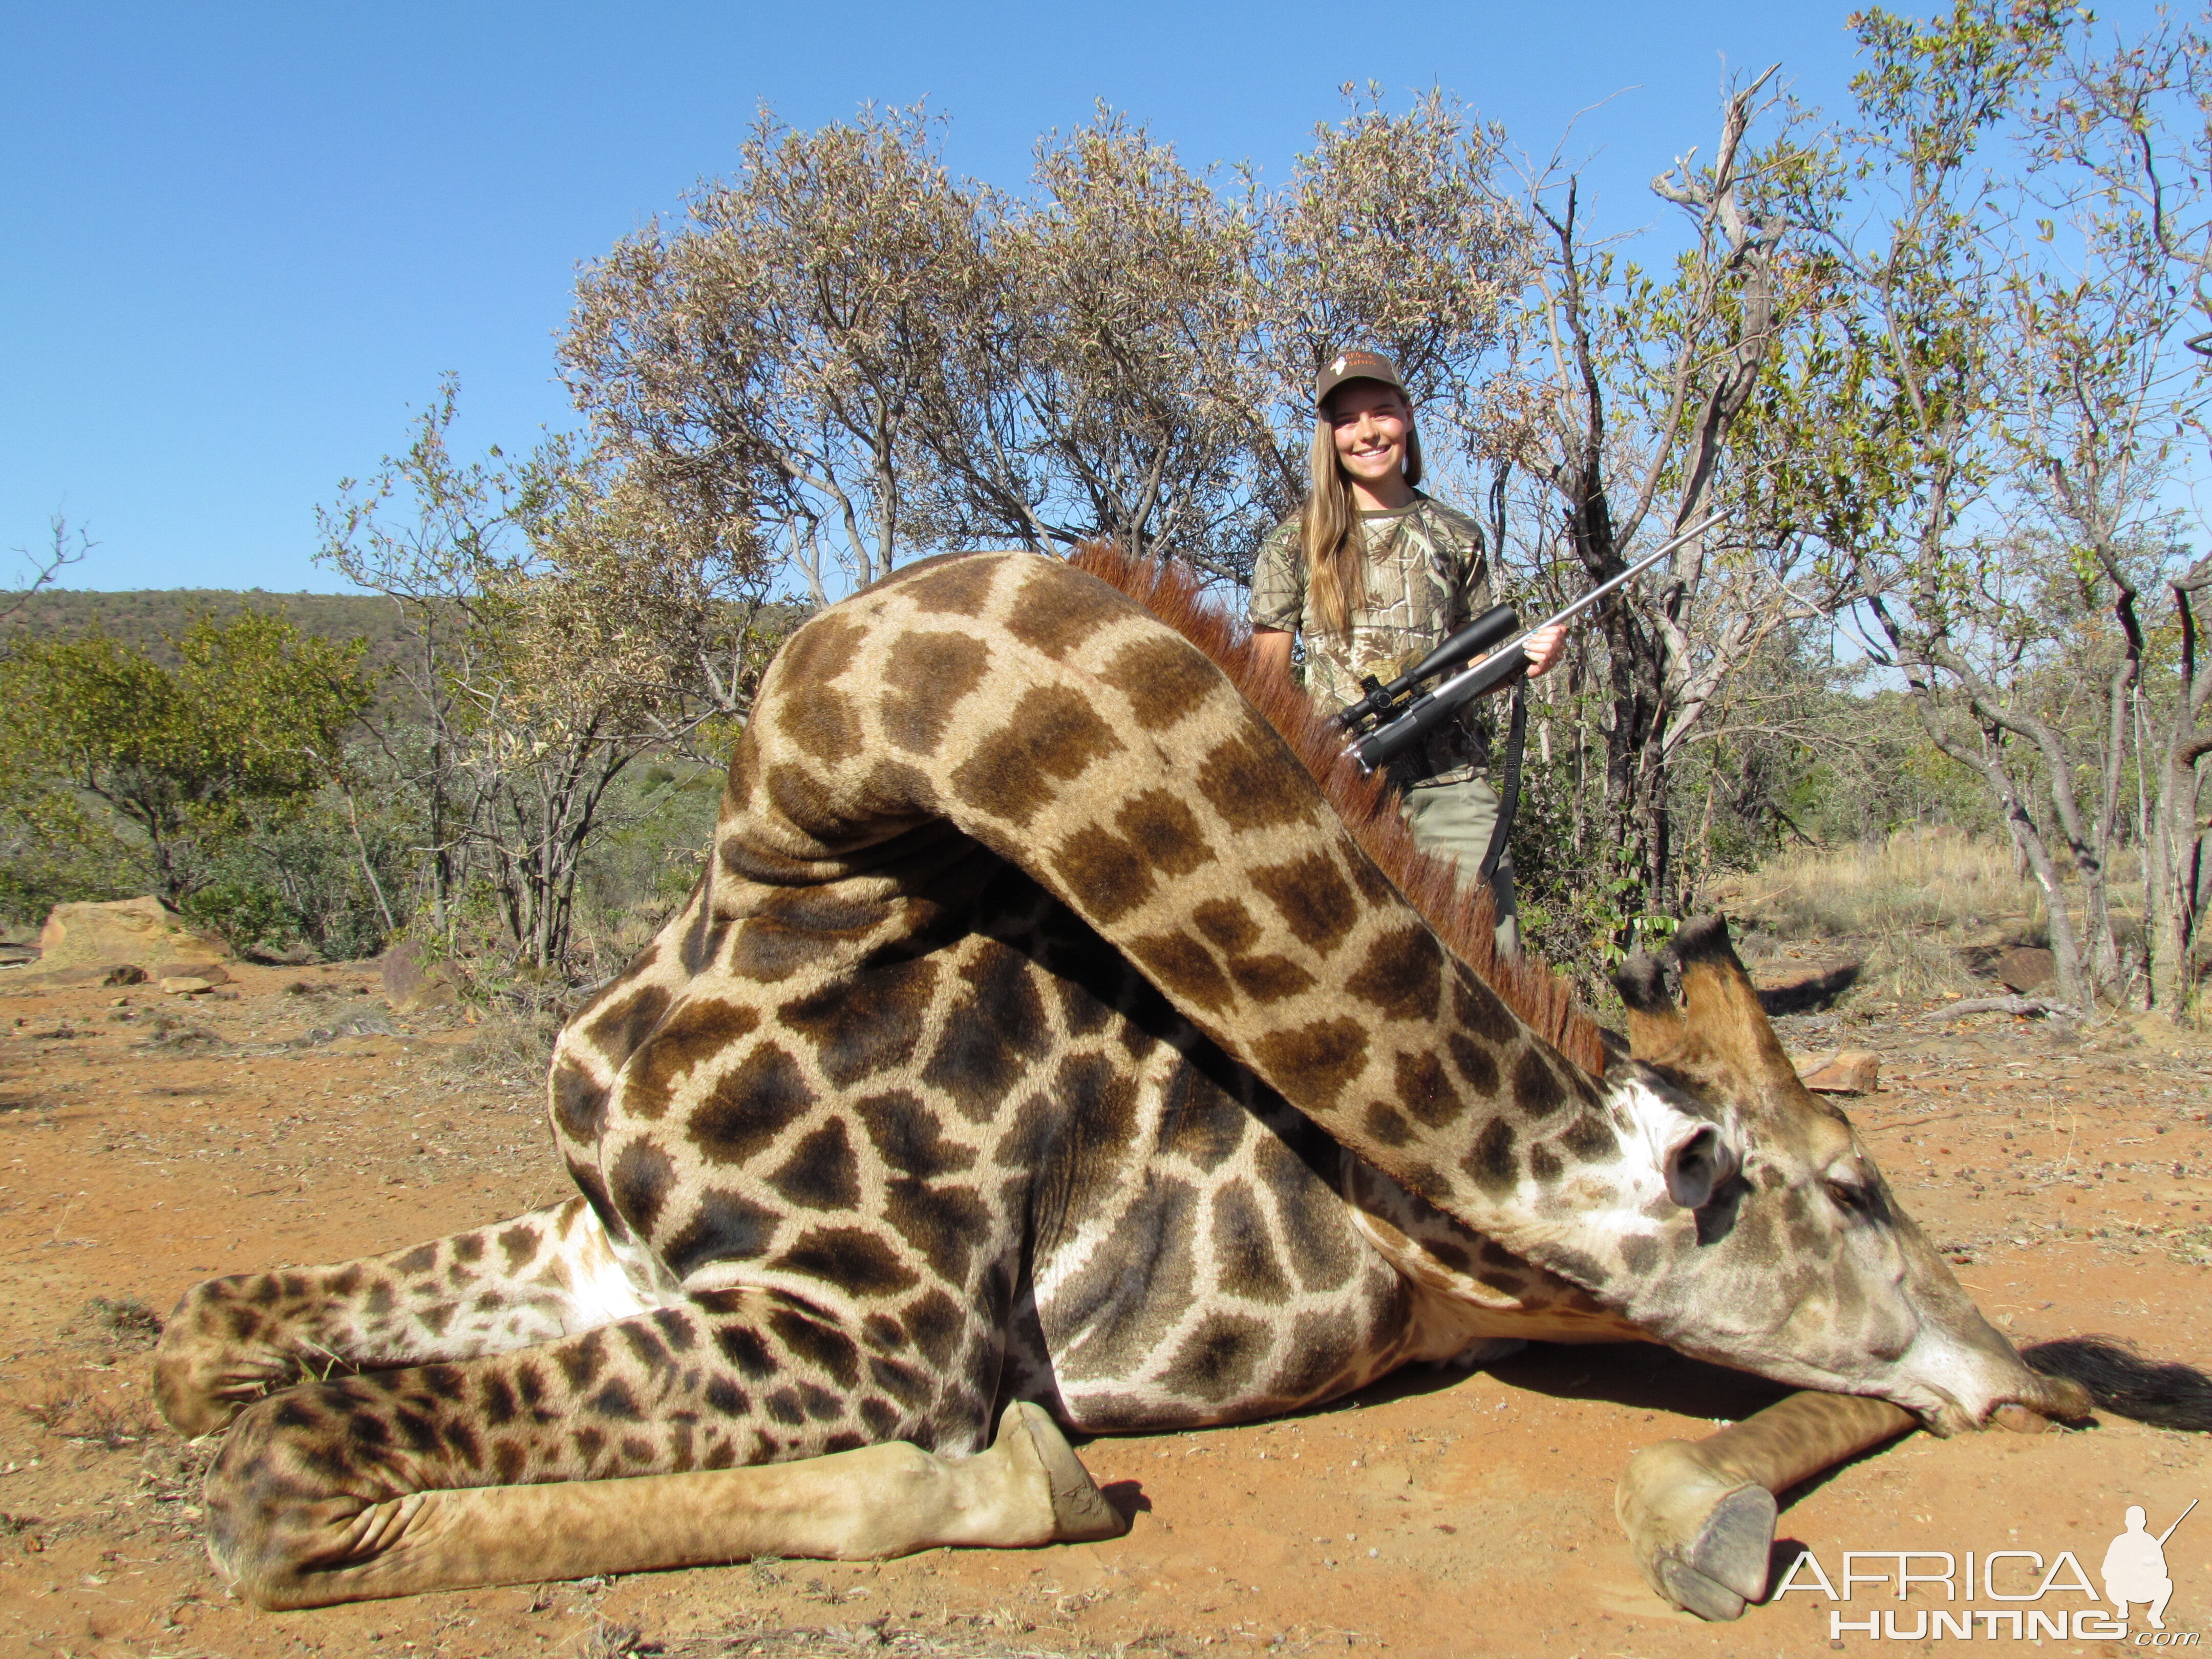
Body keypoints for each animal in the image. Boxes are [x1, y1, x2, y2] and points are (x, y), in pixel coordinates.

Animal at [151, 553, 2176, 1619]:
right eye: (1848, 1180)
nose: (2052, 1384)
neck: (790, 878)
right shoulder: (620, 1248)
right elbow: (210, 1352)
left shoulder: (879, 1326)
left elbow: (275, 1470)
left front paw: (1015, 1474)